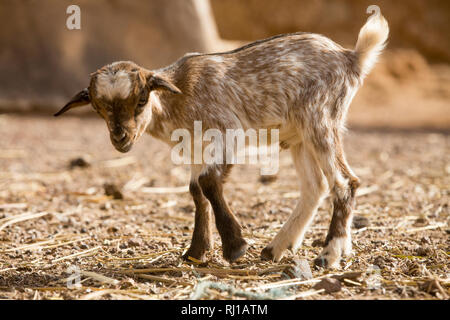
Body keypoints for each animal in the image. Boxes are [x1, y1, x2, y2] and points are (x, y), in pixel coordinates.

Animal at [54, 8, 388, 268]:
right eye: (97, 108)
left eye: (141, 100)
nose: (120, 138)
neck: (178, 96)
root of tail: (351, 57)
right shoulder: (194, 148)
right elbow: (195, 191)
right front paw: (196, 251)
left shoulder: (228, 131)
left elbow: (208, 183)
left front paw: (234, 246)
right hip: (300, 135)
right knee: (314, 187)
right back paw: (281, 248)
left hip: (321, 120)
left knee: (344, 183)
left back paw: (329, 255)